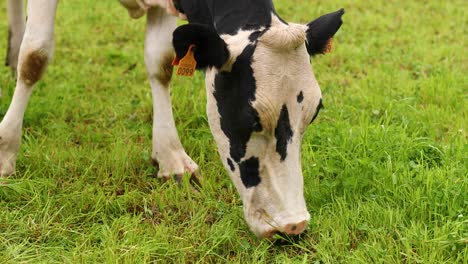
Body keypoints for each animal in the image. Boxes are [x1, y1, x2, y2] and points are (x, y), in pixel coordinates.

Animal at [0, 0, 344, 238]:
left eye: (312, 114)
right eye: (251, 118)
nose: (293, 225)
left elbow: (162, 63)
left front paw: (170, 157)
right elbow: (35, 57)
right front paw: (5, 151)